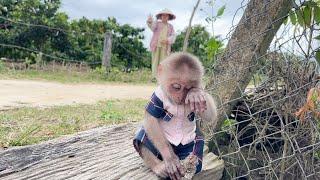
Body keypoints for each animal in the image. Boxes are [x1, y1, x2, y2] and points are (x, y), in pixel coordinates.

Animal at [132, 51, 218, 179]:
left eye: (188, 88)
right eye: (177, 87)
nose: (181, 97)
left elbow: (210, 115)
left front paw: (195, 93)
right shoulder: (158, 95)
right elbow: (151, 119)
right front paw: (170, 158)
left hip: (192, 143)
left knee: (196, 150)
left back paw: (190, 163)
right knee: (142, 138)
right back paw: (158, 166)